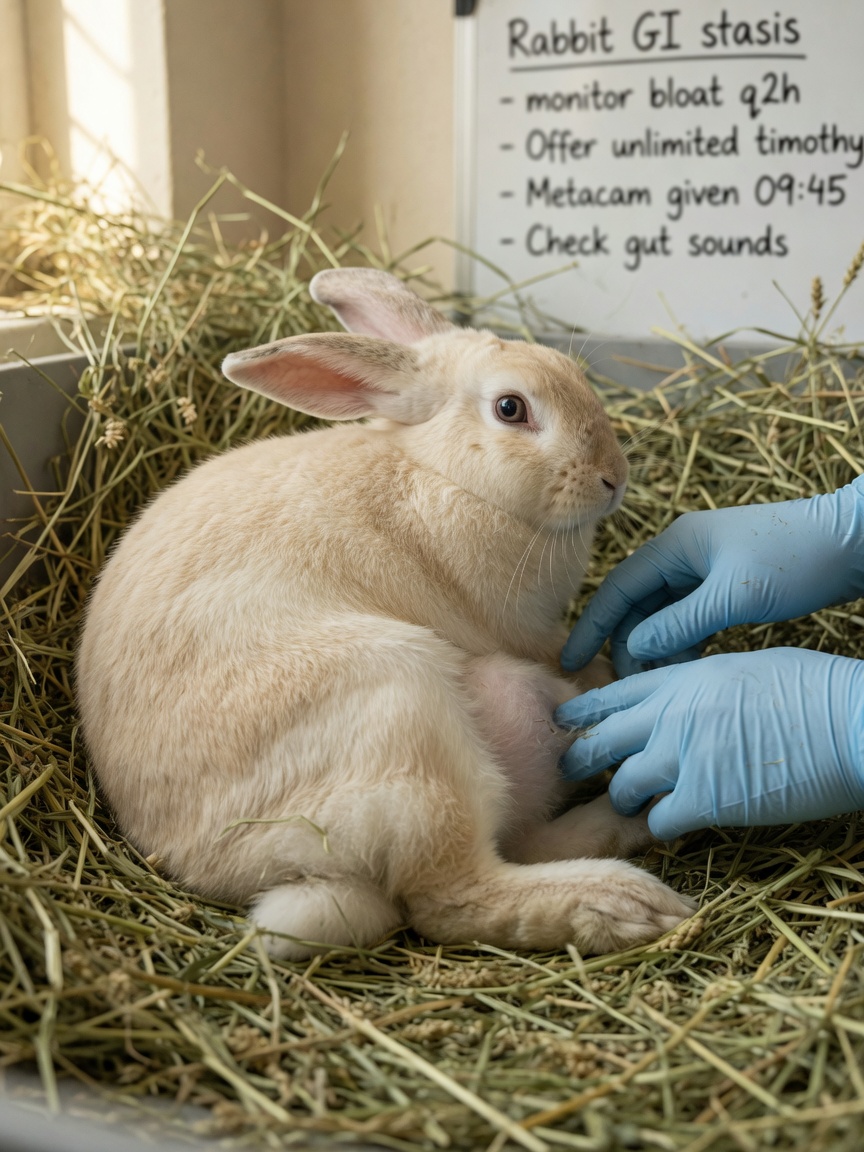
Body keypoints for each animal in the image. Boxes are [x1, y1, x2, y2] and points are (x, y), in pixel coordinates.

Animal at [76, 268, 695, 959]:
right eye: (511, 409)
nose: (613, 477)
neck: (442, 472)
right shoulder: (524, 633)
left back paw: (630, 819)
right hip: (408, 726)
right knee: (453, 897)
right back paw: (629, 901)